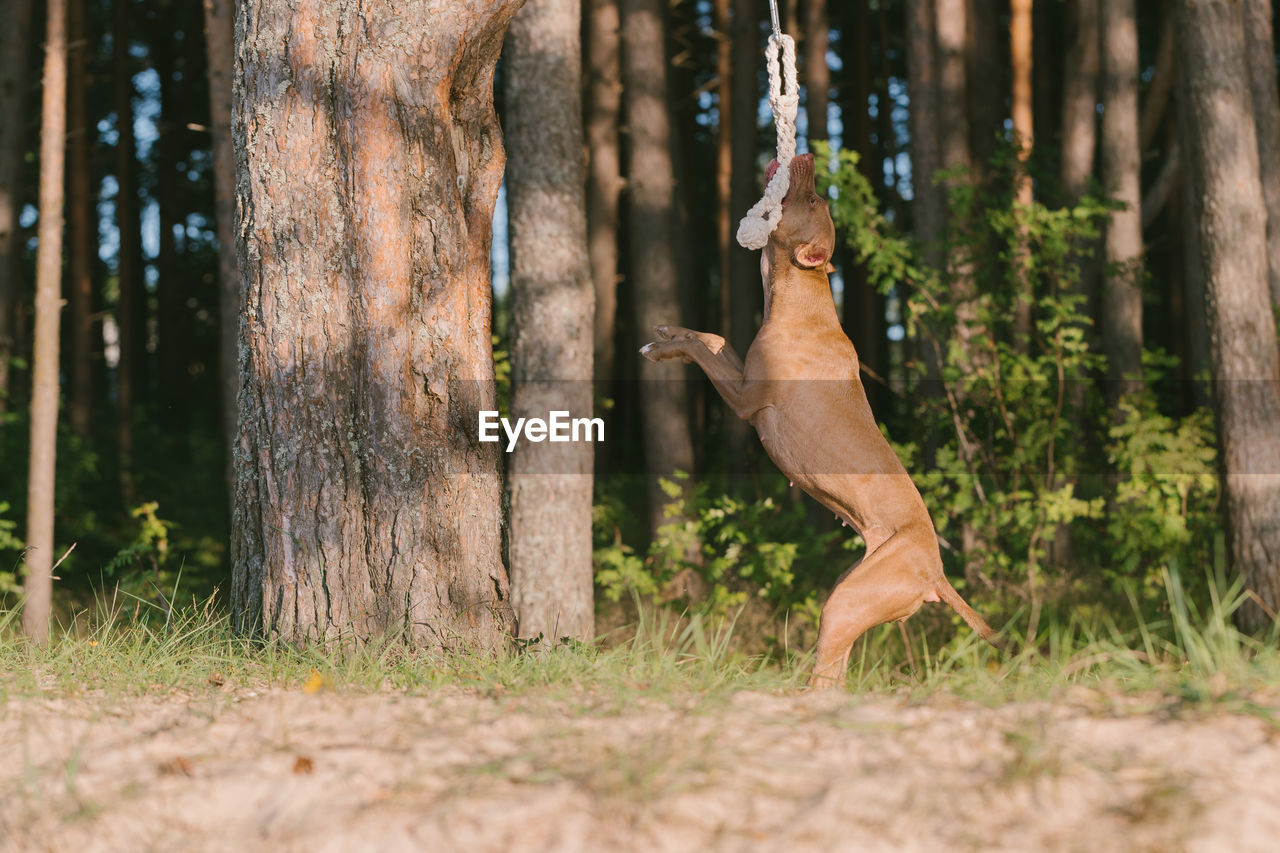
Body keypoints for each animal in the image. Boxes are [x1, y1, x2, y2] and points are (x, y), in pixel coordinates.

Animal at [640, 153, 998, 686]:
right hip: (850, 598)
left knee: (825, 679)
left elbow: (702, 350)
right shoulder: (742, 372)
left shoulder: (746, 399)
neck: (800, 297)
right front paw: (668, 332)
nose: (805, 156)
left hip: (845, 602)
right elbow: (711, 337)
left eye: (810, 199)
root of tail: (936, 575)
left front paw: (662, 349)